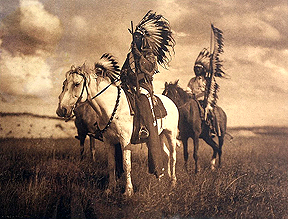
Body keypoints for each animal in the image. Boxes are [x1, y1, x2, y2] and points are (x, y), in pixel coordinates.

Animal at [56, 61, 179, 197]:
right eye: (64, 83)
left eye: (77, 84)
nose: (61, 110)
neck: (112, 108)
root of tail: (171, 102)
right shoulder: (109, 141)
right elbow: (111, 164)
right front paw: (110, 188)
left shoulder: (125, 141)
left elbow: (126, 165)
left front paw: (128, 191)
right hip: (159, 136)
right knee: (165, 154)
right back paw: (162, 178)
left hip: (170, 134)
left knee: (173, 156)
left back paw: (173, 182)